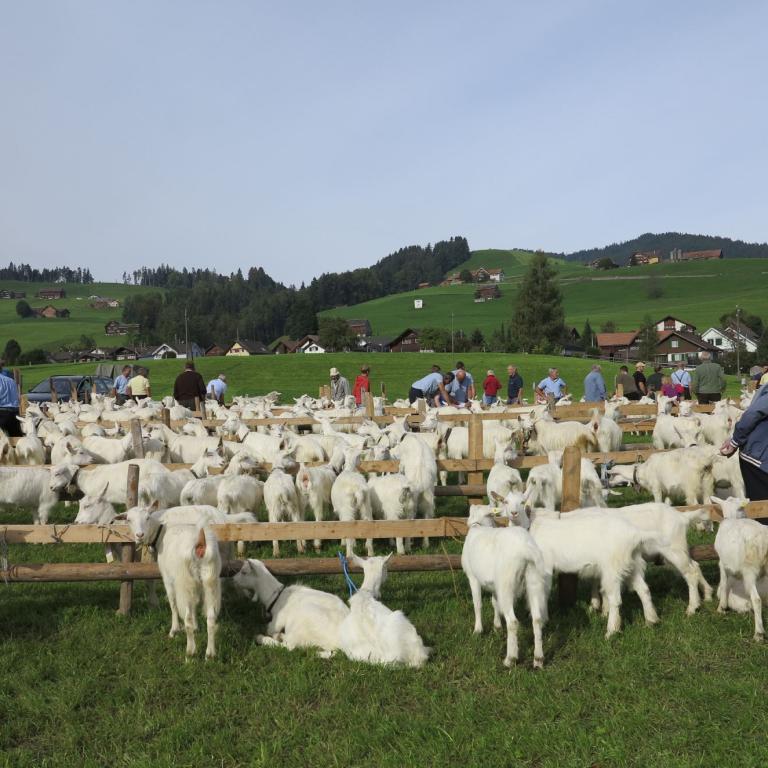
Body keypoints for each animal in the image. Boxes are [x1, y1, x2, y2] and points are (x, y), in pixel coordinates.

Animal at [125, 502, 222, 659]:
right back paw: (210, 654)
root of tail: (200, 542)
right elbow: (195, 603)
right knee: (211, 618)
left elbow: (172, 602)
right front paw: (197, 626)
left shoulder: (168, 578)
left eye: (147, 517)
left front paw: (174, 630)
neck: (161, 533)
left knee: (187, 618)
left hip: (184, 580)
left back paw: (190, 652)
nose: (139, 536)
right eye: (128, 520)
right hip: (210, 579)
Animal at [461, 503, 549, 668]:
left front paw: (478, 630)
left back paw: (510, 659)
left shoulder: (472, 577)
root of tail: (525, 549)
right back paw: (538, 659)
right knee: (537, 618)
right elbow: (494, 603)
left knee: (513, 622)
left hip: (506, 582)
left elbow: (478, 604)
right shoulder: (494, 585)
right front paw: (497, 626)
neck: (479, 526)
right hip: (533, 579)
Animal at [712, 496, 768, 641]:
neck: (732, 518)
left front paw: (721, 607)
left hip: (749, 570)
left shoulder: (722, 562)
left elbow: (724, 583)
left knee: (756, 599)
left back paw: (759, 633)